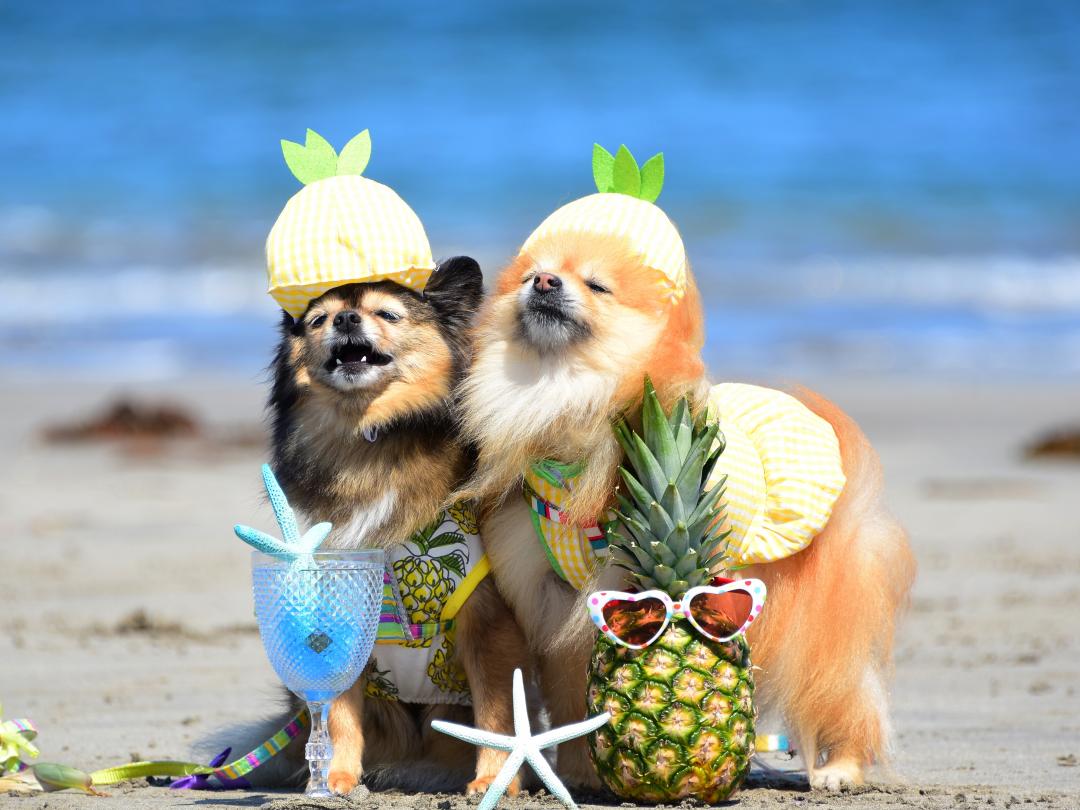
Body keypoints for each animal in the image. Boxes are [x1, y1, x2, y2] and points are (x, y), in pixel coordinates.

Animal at [257, 256, 530, 796]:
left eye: (386, 313)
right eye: (319, 320)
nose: (346, 320)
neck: (372, 440)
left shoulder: (487, 622)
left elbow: (495, 710)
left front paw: (493, 778)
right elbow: (341, 714)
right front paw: (337, 778)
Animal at [457, 228, 916, 791]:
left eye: (596, 285)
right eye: (530, 275)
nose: (544, 282)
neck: (561, 398)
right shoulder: (553, 600)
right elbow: (574, 704)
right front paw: (582, 773)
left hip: (816, 620)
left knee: (841, 692)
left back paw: (841, 769)